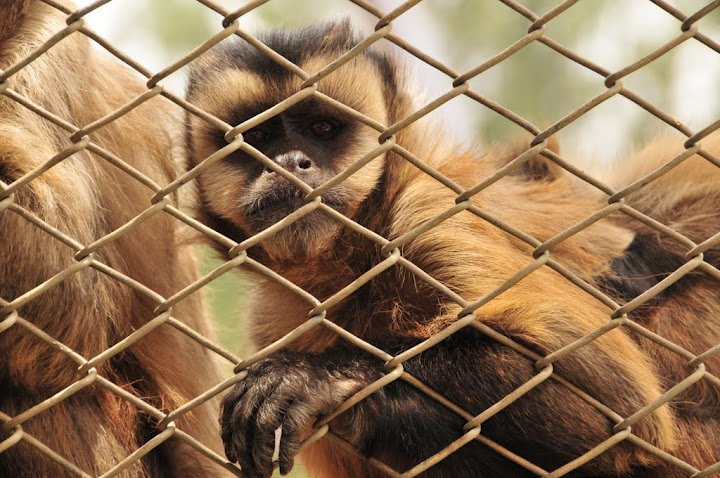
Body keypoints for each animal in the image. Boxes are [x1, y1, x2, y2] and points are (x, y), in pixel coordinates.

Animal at [185, 20, 720, 478]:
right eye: (257, 136)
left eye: (321, 129)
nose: (291, 162)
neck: (356, 256)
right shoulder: (274, 318)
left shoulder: (427, 215)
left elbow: (620, 408)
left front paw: (319, 376)